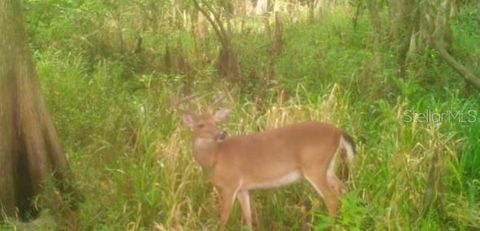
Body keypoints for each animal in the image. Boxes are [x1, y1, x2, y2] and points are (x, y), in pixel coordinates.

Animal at [174, 94, 354, 231]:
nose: (221, 134)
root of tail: (339, 132)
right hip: (328, 167)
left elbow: (223, 219)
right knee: (344, 190)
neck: (216, 157)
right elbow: (248, 217)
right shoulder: (242, 188)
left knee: (332, 198)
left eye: (216, 122)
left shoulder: (230, 185)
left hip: (314, 166)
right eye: (200, 125)